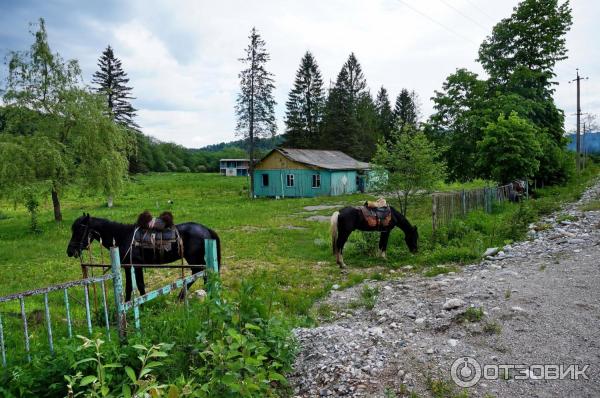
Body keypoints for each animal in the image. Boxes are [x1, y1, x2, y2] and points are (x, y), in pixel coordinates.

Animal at [67, 215, 220, 302]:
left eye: (79, 230)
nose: (70, 251)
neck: (122, 236)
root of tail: (205, 229)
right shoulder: (133, 267)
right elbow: (136, 285)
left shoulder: (132, 266)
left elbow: (132, 286)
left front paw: (133, 303)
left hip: (194, 259)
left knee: (199, 273)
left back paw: (184, 296)